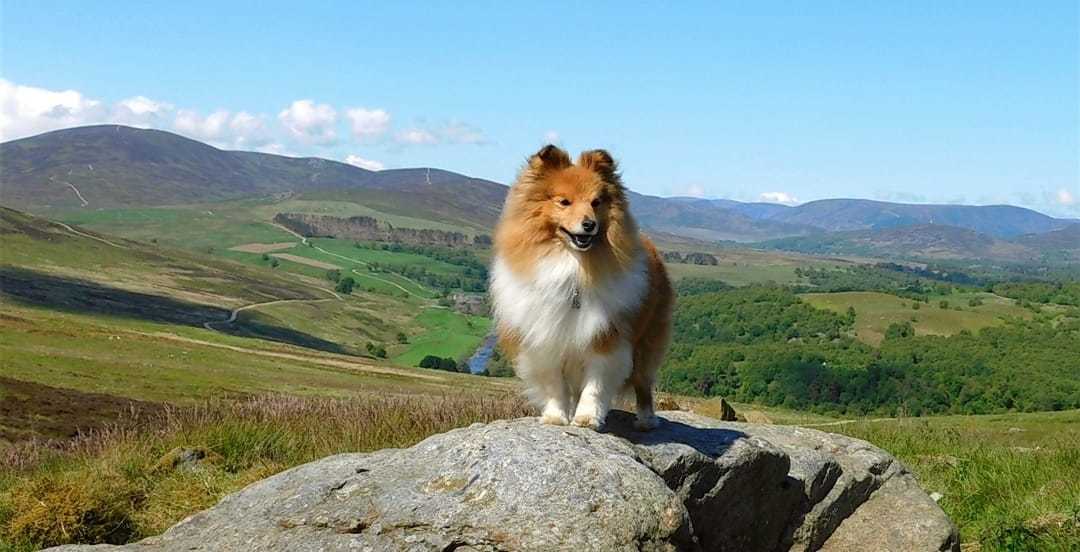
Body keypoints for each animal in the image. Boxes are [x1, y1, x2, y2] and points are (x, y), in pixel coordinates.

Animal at [492, 145, 673, 432]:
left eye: (596, 202)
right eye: (564, 202)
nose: (589, 225)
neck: (574, 265)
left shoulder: (605, 337)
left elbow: (595, 385)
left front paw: (587, 418)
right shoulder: (546, 340)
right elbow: (554, 385)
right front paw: (556, 417)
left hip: (647, 343)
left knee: (643, 384)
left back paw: (646, 420)